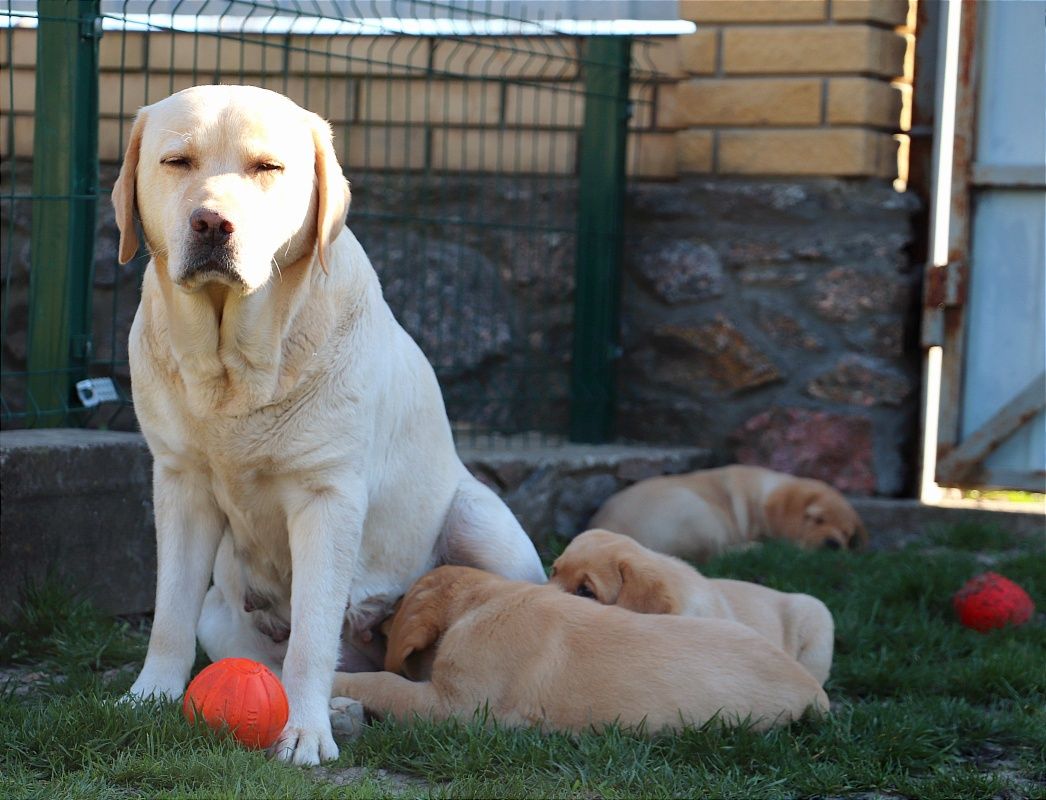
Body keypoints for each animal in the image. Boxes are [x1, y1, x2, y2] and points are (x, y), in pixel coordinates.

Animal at [330, 564, 828, 732]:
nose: (377, 617)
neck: (485, 599)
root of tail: (812, 687)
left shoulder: (455, 707)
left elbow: (384, 681)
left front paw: (336, 680)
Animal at [589, 462, 866, 560]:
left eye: (847, 534)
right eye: (816, 519)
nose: (833, 544)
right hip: (702, 515)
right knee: (713, 554)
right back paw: (754, 548)